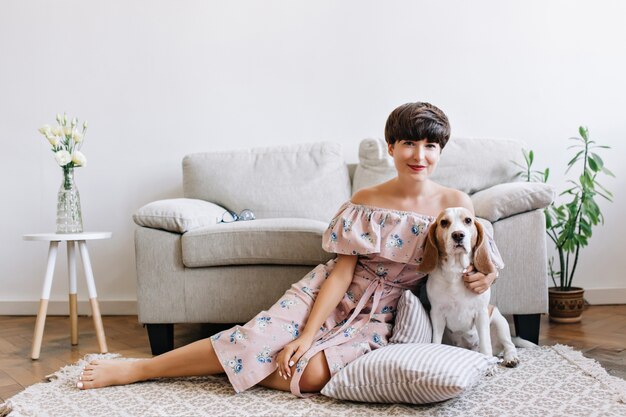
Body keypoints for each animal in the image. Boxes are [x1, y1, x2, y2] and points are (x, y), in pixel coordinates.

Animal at [420, 206, 520, 366]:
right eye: (444, 222)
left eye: (468, 220)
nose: (458, 235)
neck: (456, 271)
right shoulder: (437, 314)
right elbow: (436, 340)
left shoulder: (481, 313)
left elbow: (486, 345)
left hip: (499, 321)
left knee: (509, 344)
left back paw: (511, 358)